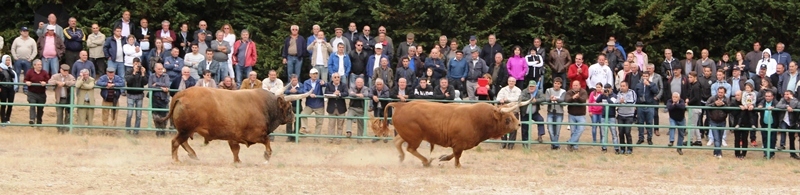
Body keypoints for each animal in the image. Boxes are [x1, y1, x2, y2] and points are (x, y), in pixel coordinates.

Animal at [153, 86, 310, 164]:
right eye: (289, 107)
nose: (293, 117)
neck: (265, 105)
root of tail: (181, 94)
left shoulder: (233, 137)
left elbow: (235, 150)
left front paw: (237, 161)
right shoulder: (255, 135)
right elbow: (266, 141)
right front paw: (267, 155)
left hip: (185, 130)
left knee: (182, 142)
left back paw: (193, 155)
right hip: (186, 129)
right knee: (175, 142)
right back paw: (176, 159)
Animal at [376, 100, 532, 167]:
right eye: (507, 119)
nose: (519, 124)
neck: (478, 119)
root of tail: (401, 105)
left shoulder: (458, 144)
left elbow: (452, 155)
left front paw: (443, 158)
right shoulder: (459, 144)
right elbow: (457, 156)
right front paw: (458, 166)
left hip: (407, 135)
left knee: (398, 142)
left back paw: (402, 158)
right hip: (415, 137)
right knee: (411, 149)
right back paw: (426, 161)